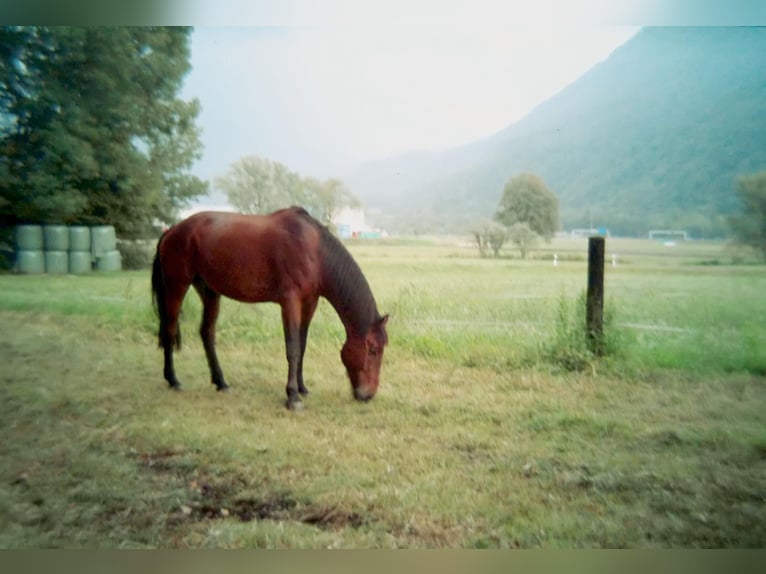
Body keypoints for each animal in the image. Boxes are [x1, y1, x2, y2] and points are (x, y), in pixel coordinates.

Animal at [151, 206, 388, 410]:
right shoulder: (290, 302)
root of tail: (171, 231)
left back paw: (221, 382)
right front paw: (292, 397)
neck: (314, 252)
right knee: (169, 329)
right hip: (177, 286)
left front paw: (302, 388)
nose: (368, 394)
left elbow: (302, 346)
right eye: (373, 349)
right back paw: (173, 380)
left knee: (206, 333)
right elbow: (292, 348)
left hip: (209, 292)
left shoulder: (309, 303)